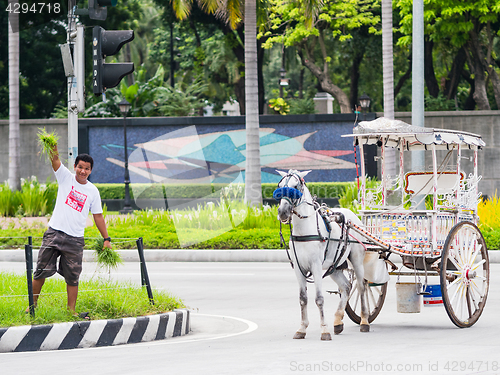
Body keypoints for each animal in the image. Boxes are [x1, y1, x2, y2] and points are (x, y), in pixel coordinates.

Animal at [276, 170, 370, 340]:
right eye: (280, 187)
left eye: (295, 187)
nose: (282, 212)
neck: (305, 230)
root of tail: (352, 216)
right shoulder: (299, 269)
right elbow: (303, 299)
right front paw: (302, 328)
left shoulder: (316, 267)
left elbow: (319, 299)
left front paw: (324, 330)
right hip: (335, 266)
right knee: (346, 287)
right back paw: (338, 321)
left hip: (357, 260)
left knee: (361, 287)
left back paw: (364, 321)